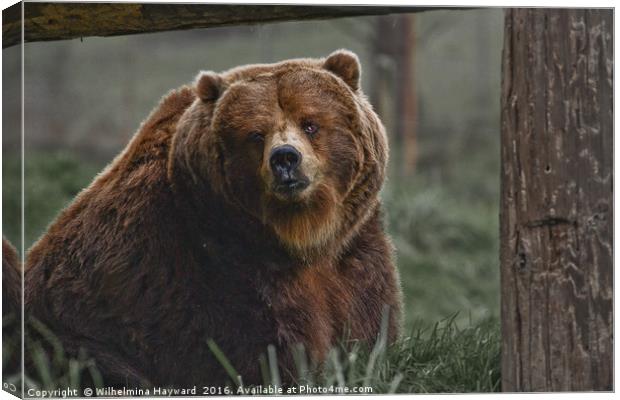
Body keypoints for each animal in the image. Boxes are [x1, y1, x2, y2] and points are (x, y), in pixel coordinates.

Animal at [23, 49, 402, 388]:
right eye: (256, 134)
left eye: (310, 123)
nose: (285, 158)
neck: (299, 237)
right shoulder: (209, 268)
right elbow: (259, 347)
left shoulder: (353, 252)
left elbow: (368, 322)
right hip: (64, 337)